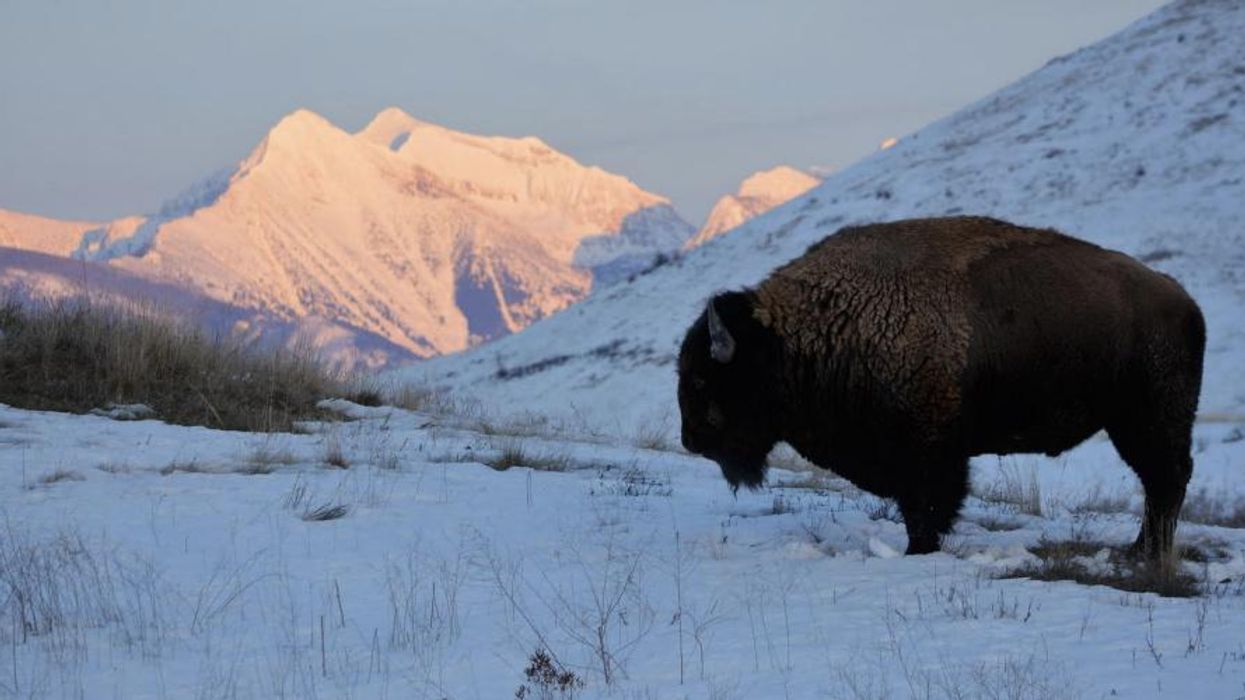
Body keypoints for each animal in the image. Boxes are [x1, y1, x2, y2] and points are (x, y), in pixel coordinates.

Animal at [678, 216, 1204, 559]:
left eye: (702, 377)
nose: (691, 440)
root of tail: (1182, 300)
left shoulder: (929, 452)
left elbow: (927, 508)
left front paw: (918, 552)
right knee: (1161, 482)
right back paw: (1139, 550)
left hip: (1148, 421)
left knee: (1166, 479)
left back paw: (1145, 553)